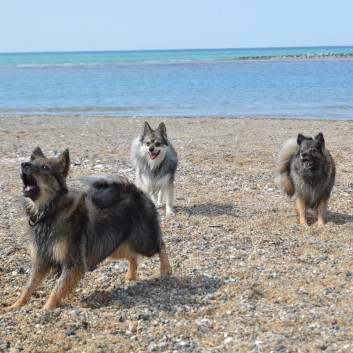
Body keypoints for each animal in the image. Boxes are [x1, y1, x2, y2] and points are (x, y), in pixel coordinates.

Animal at [6, 147, 172, 310]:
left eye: (45, 168)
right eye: (32, 162)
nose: (24, 164)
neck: (50, 212)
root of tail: (135, 190)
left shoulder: (73, 263)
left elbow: (56, 290)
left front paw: (46, 309)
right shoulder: (41, 261)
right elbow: (28, 287)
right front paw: (15, 305)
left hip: (143, 241)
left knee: (160, 245)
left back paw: (166, 270)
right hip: (115, 246)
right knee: (133, 256)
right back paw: (130, 276)